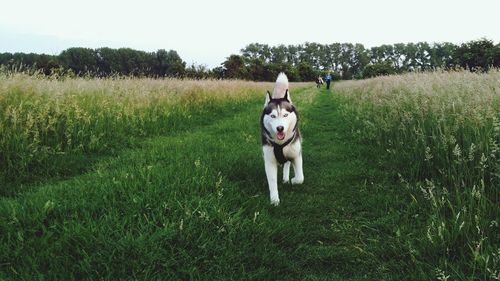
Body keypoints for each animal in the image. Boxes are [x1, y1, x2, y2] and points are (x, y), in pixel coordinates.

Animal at [262, 72, 304, 203]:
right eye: (273, 116)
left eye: (285, 115)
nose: (280, 128)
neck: (280, 144)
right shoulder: (269, 161)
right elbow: (272, 181)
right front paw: (274, 200)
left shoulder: (296, 155)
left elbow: (300, 178)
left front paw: (293, 180)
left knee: (286, 164)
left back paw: (286, 178)